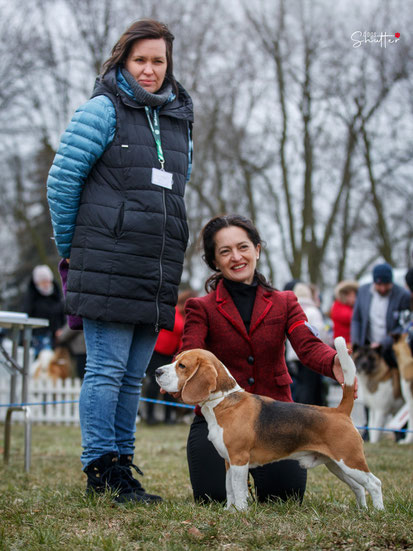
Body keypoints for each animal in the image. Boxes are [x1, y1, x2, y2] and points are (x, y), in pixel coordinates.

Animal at [155, 336, 384, 512]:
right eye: (175, 360)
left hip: (350, 461)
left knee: (374, 483)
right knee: (358, 487)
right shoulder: (228, 461)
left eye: (182, 366)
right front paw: (229, 511)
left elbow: (238, 490)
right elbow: (229, 489)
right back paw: (362, 510)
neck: (223, 402)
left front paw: (240, 513)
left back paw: (377, 512)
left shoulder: (239, 459)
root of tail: (339, 411)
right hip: (337, 465)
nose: (157, 372)